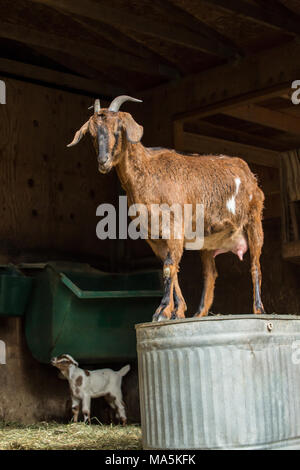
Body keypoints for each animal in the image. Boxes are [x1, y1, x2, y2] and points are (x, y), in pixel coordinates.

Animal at [68, 97, 264, 322]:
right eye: (92, 134)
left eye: (118, 129)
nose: (103, 162)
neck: (147, 173)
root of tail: (249, 174)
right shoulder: (152, 235)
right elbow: (169, 266)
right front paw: (176, 311)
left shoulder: (174, 226)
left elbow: (169, 266)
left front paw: (162, 311)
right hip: (207, 240)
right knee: (210, 274)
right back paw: (199, 314)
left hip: (254, 221)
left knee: (255, 265)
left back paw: (259, 310)